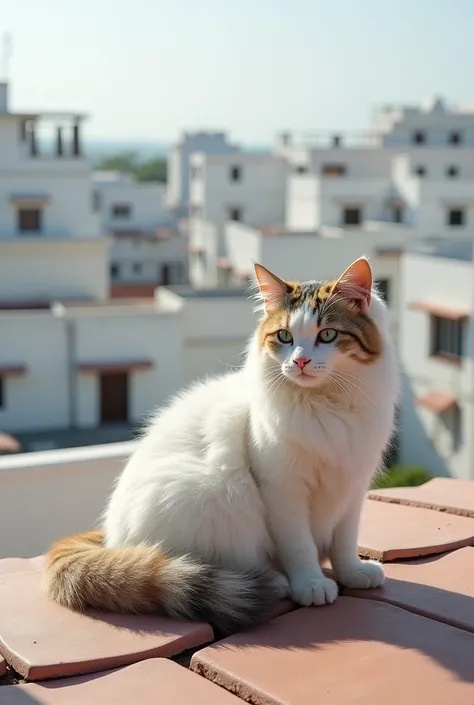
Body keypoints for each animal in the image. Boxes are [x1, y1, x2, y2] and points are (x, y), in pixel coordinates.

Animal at [45, 256, 400, 636]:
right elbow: (300, 545)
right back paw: (272, 582)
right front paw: (311, 583)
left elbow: (344, 542)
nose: (300, 361)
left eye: (328, 335)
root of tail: (112, 538)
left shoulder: (353, 487)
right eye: (285, 337)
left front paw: (353, 572)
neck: (326, 405)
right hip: (209, 500)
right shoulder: (283, 492)